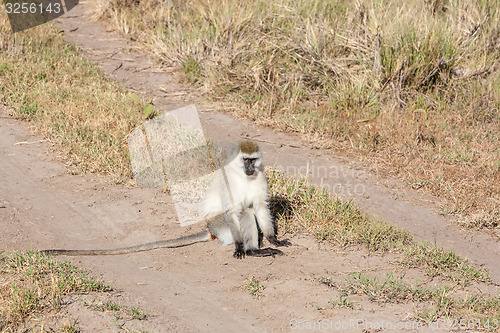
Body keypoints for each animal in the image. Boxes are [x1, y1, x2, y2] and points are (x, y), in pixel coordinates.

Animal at [43, 139, 290, 256]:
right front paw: (240, 247)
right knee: (243, 213)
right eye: (245, 160)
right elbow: (232, 211)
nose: (249, 168)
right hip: (219, 226)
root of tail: (209, 230)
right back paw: (251, 251)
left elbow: (260, 206)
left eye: (253, 160)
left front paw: (273, 238)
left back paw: (258, 249)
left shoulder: (261, 176)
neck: (244, 176)